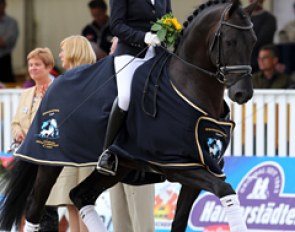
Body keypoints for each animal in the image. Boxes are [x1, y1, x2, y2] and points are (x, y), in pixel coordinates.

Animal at [0, 0, 258, 231]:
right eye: (229, 41)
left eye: (254, 42)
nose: (242, 93)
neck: (187, 86)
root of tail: (54, 83)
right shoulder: (178, 165)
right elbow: (226, 191)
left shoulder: (204, 166)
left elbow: (182, 219)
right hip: (50, 162)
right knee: (35, 209)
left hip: (119, 167)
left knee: (80, 196)